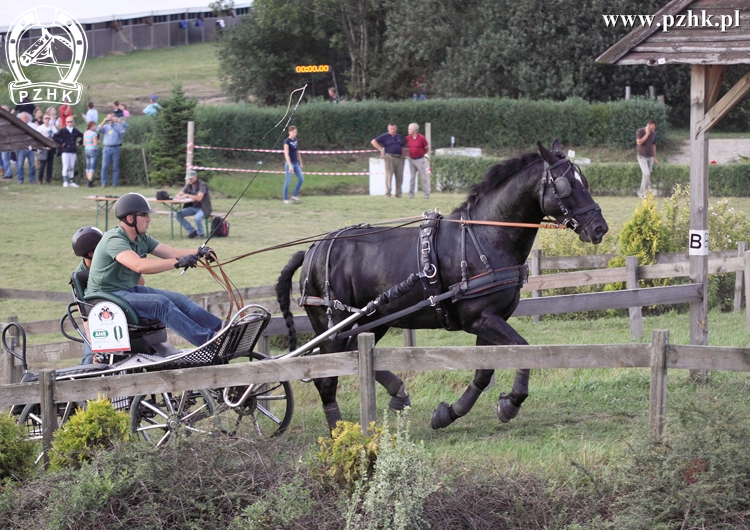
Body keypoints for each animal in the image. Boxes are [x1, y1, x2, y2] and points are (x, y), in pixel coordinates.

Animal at [276, 140, 612, 428]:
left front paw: (449, 413)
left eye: (584, 180)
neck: (486, 236)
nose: (599, 228)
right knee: (327, 377)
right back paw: (339, 431)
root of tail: (313, 250)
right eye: (567, 186)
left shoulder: (491, 319)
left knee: (355, 356)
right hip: (333, 324)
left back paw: (397, 393)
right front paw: (512, 402)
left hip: (372, 319)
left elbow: (484, 370)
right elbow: (523, 349)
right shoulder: (479, 318)